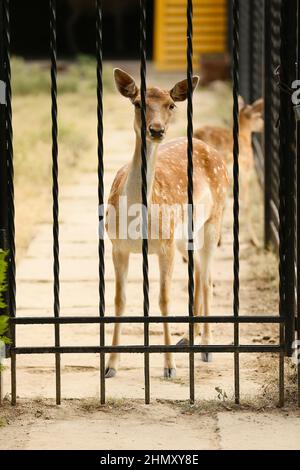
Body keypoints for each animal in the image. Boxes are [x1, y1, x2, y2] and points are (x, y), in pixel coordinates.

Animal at [104, 69, 229, 378]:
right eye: (138, 103)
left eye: (171, 105)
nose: (156, 130)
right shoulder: (117, 246)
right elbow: (119, 300)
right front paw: (110, 365)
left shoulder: (164, 245)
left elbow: (164, 299)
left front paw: (169, 366)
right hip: (186, 235)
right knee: (200, 274)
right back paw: (188, 339)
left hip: (214, 219)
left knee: (207, 278)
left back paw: (206, 346)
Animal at [193, 98, 264, 248]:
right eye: (259, 116)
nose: (263, 126)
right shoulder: (245, 171)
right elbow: (246, 204)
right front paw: (255, 241)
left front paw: (219, 240)